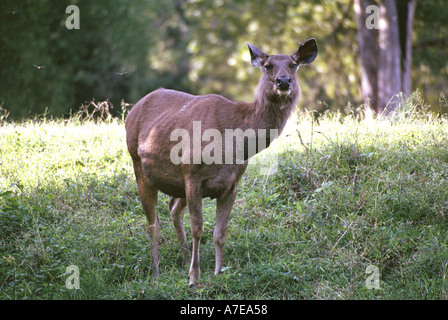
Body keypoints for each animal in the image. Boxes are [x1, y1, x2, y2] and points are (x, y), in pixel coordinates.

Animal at [124, 38, 316, 288]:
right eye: (268, 66)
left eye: (293, 65)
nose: (283, 81)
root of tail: (132, 110)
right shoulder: (192, 174)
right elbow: (198, 228)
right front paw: (194, 277)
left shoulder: (231, 183)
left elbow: (220, 233)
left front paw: (218, 272)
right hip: (139, 165)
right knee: (152, 224)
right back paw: (156, 272)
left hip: (176, 183)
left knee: (173, 209)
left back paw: (183, 258)